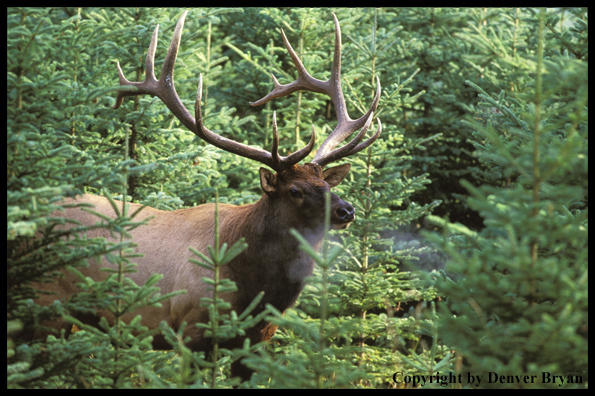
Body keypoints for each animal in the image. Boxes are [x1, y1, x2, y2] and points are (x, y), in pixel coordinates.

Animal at [33, 10, 382, 380]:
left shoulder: (257, 341)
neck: (254, 288)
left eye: (329, 186)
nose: (347, 211)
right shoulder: (191, 329)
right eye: (294, 190)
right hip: (46, 305)